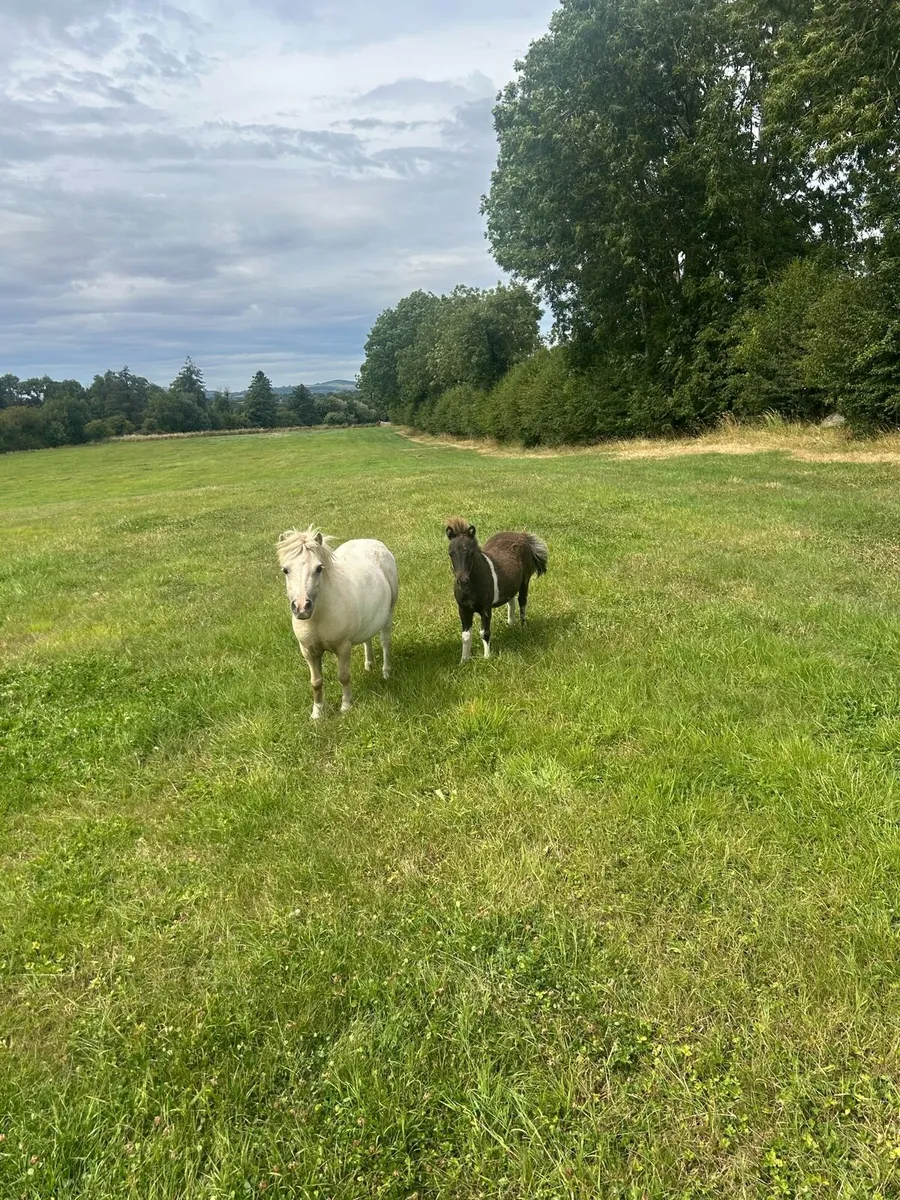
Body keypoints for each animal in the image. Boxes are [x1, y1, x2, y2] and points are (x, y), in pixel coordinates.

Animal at [277, 527, 398, 718]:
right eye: (285, 570)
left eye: (319, 568)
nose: (302, 607)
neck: (319, 617)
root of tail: (372, 541)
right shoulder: (308, 651)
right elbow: (316, 682)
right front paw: (317, 713)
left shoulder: (343, 647)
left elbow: (343, 676)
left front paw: (346, 706)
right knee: (368, 639)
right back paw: (369, 665)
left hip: (389, 613)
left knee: (385, 642)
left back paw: (386, 672)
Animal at [445, 517, 548, 662]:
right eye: (451, 553)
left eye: (471, 552)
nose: (463, 580)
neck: (471, 588)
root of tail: (523, 536)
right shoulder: (463, 609)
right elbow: (465, 636)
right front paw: (464, 660)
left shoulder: (486, 609)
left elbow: (485, 632)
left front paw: (487, 657)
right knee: (511, 601)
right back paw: (510, 625)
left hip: (525, 581)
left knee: (522, 602)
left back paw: (523, 627)